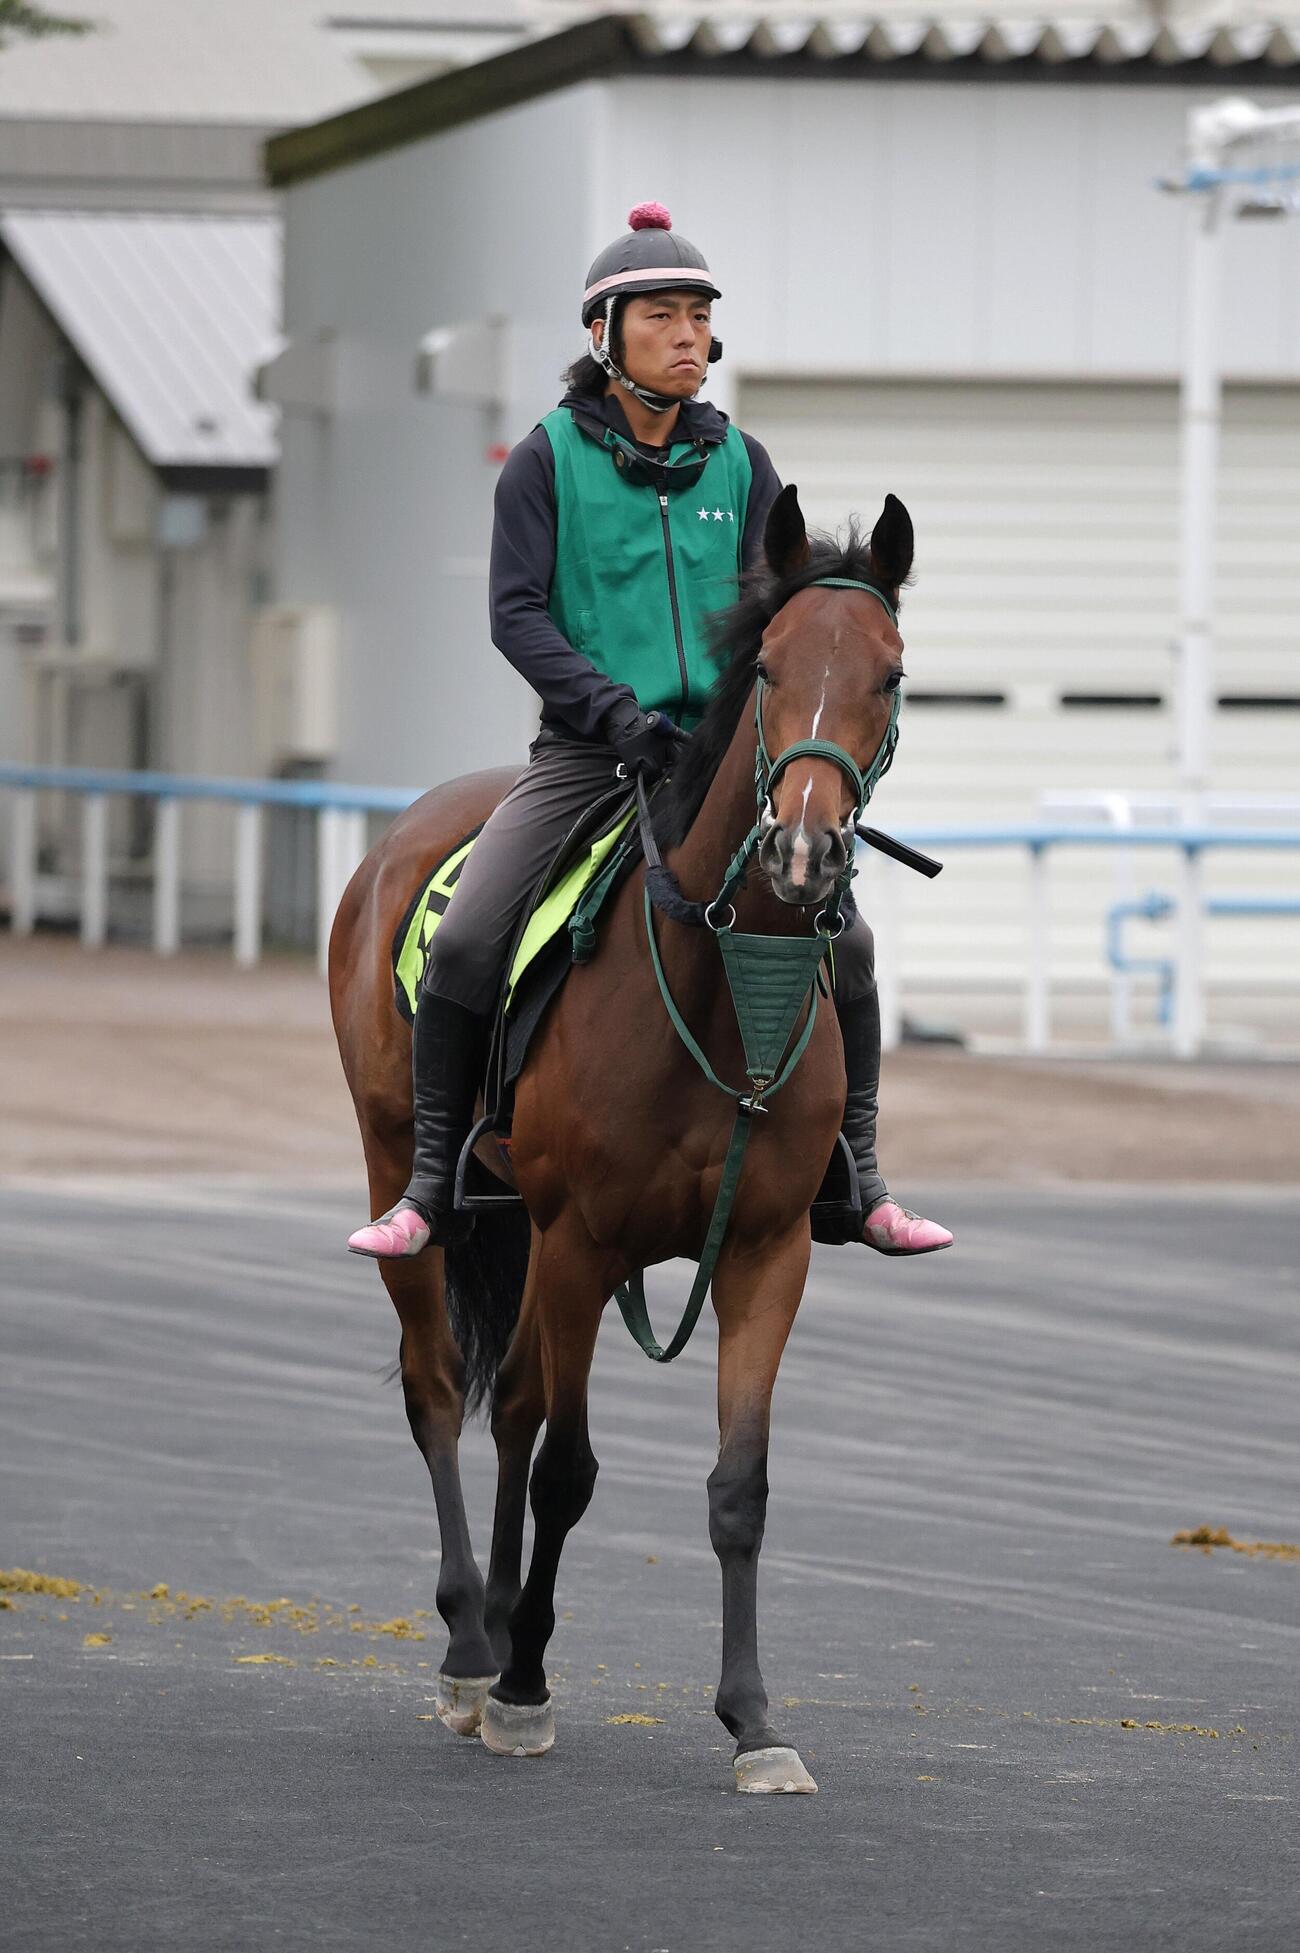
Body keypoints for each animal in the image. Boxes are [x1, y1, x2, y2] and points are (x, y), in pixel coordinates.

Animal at [329, 483, 914, 1793]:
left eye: (891, 674)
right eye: (769, 669)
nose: (804, 854)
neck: (718, 987)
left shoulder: (763, 1253)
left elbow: (739, 1486)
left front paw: (754, 1722)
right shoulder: (581, 1241)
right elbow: (569, 1469)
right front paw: (524, 1691)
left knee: (511, 1407)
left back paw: (502, 1629)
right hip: (412, 1167)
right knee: (442, 1392)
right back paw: (472, 1650)